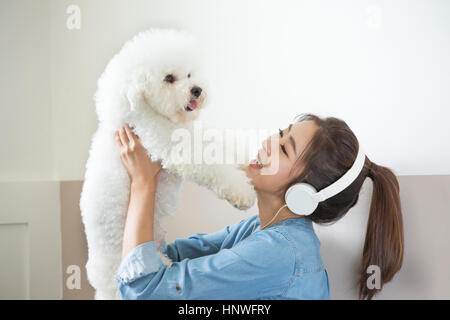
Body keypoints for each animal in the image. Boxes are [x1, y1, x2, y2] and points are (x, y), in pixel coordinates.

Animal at [80, 28, 256, 300]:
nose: (197, 90)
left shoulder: (194, 134)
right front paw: (241, 193)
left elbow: (220, 145)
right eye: (169, 78)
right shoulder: (176, 149)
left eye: (190, 74)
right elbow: (212, 166)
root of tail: (98, 278)